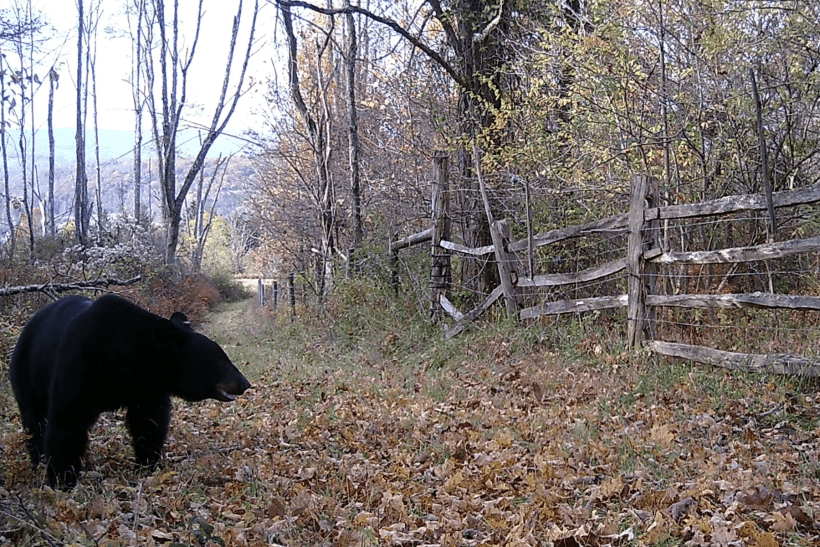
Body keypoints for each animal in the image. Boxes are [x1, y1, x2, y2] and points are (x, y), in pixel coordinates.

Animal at [9, 296, 251, 488]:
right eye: (221, 360)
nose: (245, 383)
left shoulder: (144, 387)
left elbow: (149, 421)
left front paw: (147, 463)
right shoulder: (80, 365)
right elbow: (67, 420)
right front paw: (62, 479)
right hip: (27, 372)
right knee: (34, 421)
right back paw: (37, 459)